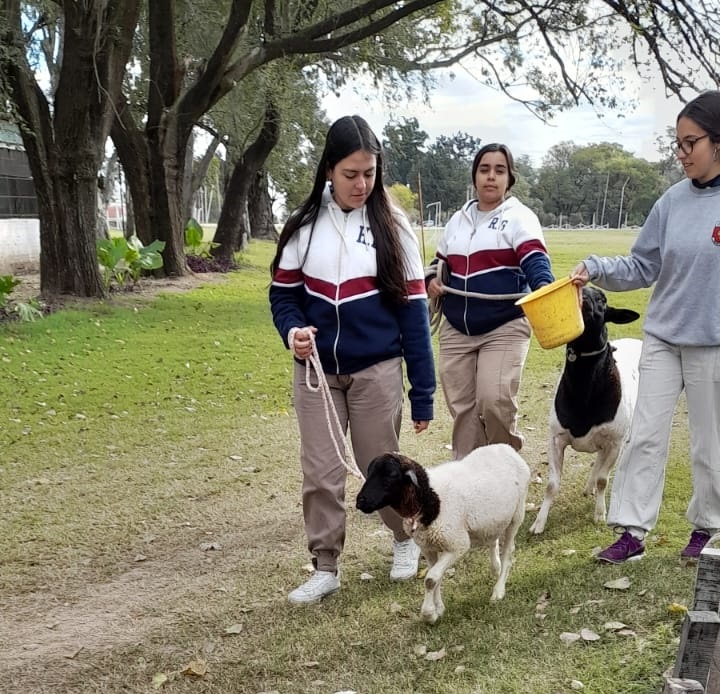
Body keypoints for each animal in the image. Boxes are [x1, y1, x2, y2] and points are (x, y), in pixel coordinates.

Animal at [356, 448, 528, 628]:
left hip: (517, 515)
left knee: (508, 552)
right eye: (368, 472)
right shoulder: (428, 547)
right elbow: (435, 578)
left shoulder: (457, 545)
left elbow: (431, 579)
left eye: (391, 475)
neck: (429, 499)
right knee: (493, 540)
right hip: (492, 521)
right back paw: (496, 567)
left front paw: (429, 614)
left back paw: (499, 590)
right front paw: (439, 608)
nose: (360, 502)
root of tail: (506, 448)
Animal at [528, 286, 640, 536]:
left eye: (603, 299)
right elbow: (551, 485)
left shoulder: (614, 442)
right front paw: (538, 523)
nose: (585, 299)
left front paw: (599, 515)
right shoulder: (556, 438)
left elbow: (603, 480)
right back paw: (588, 488)